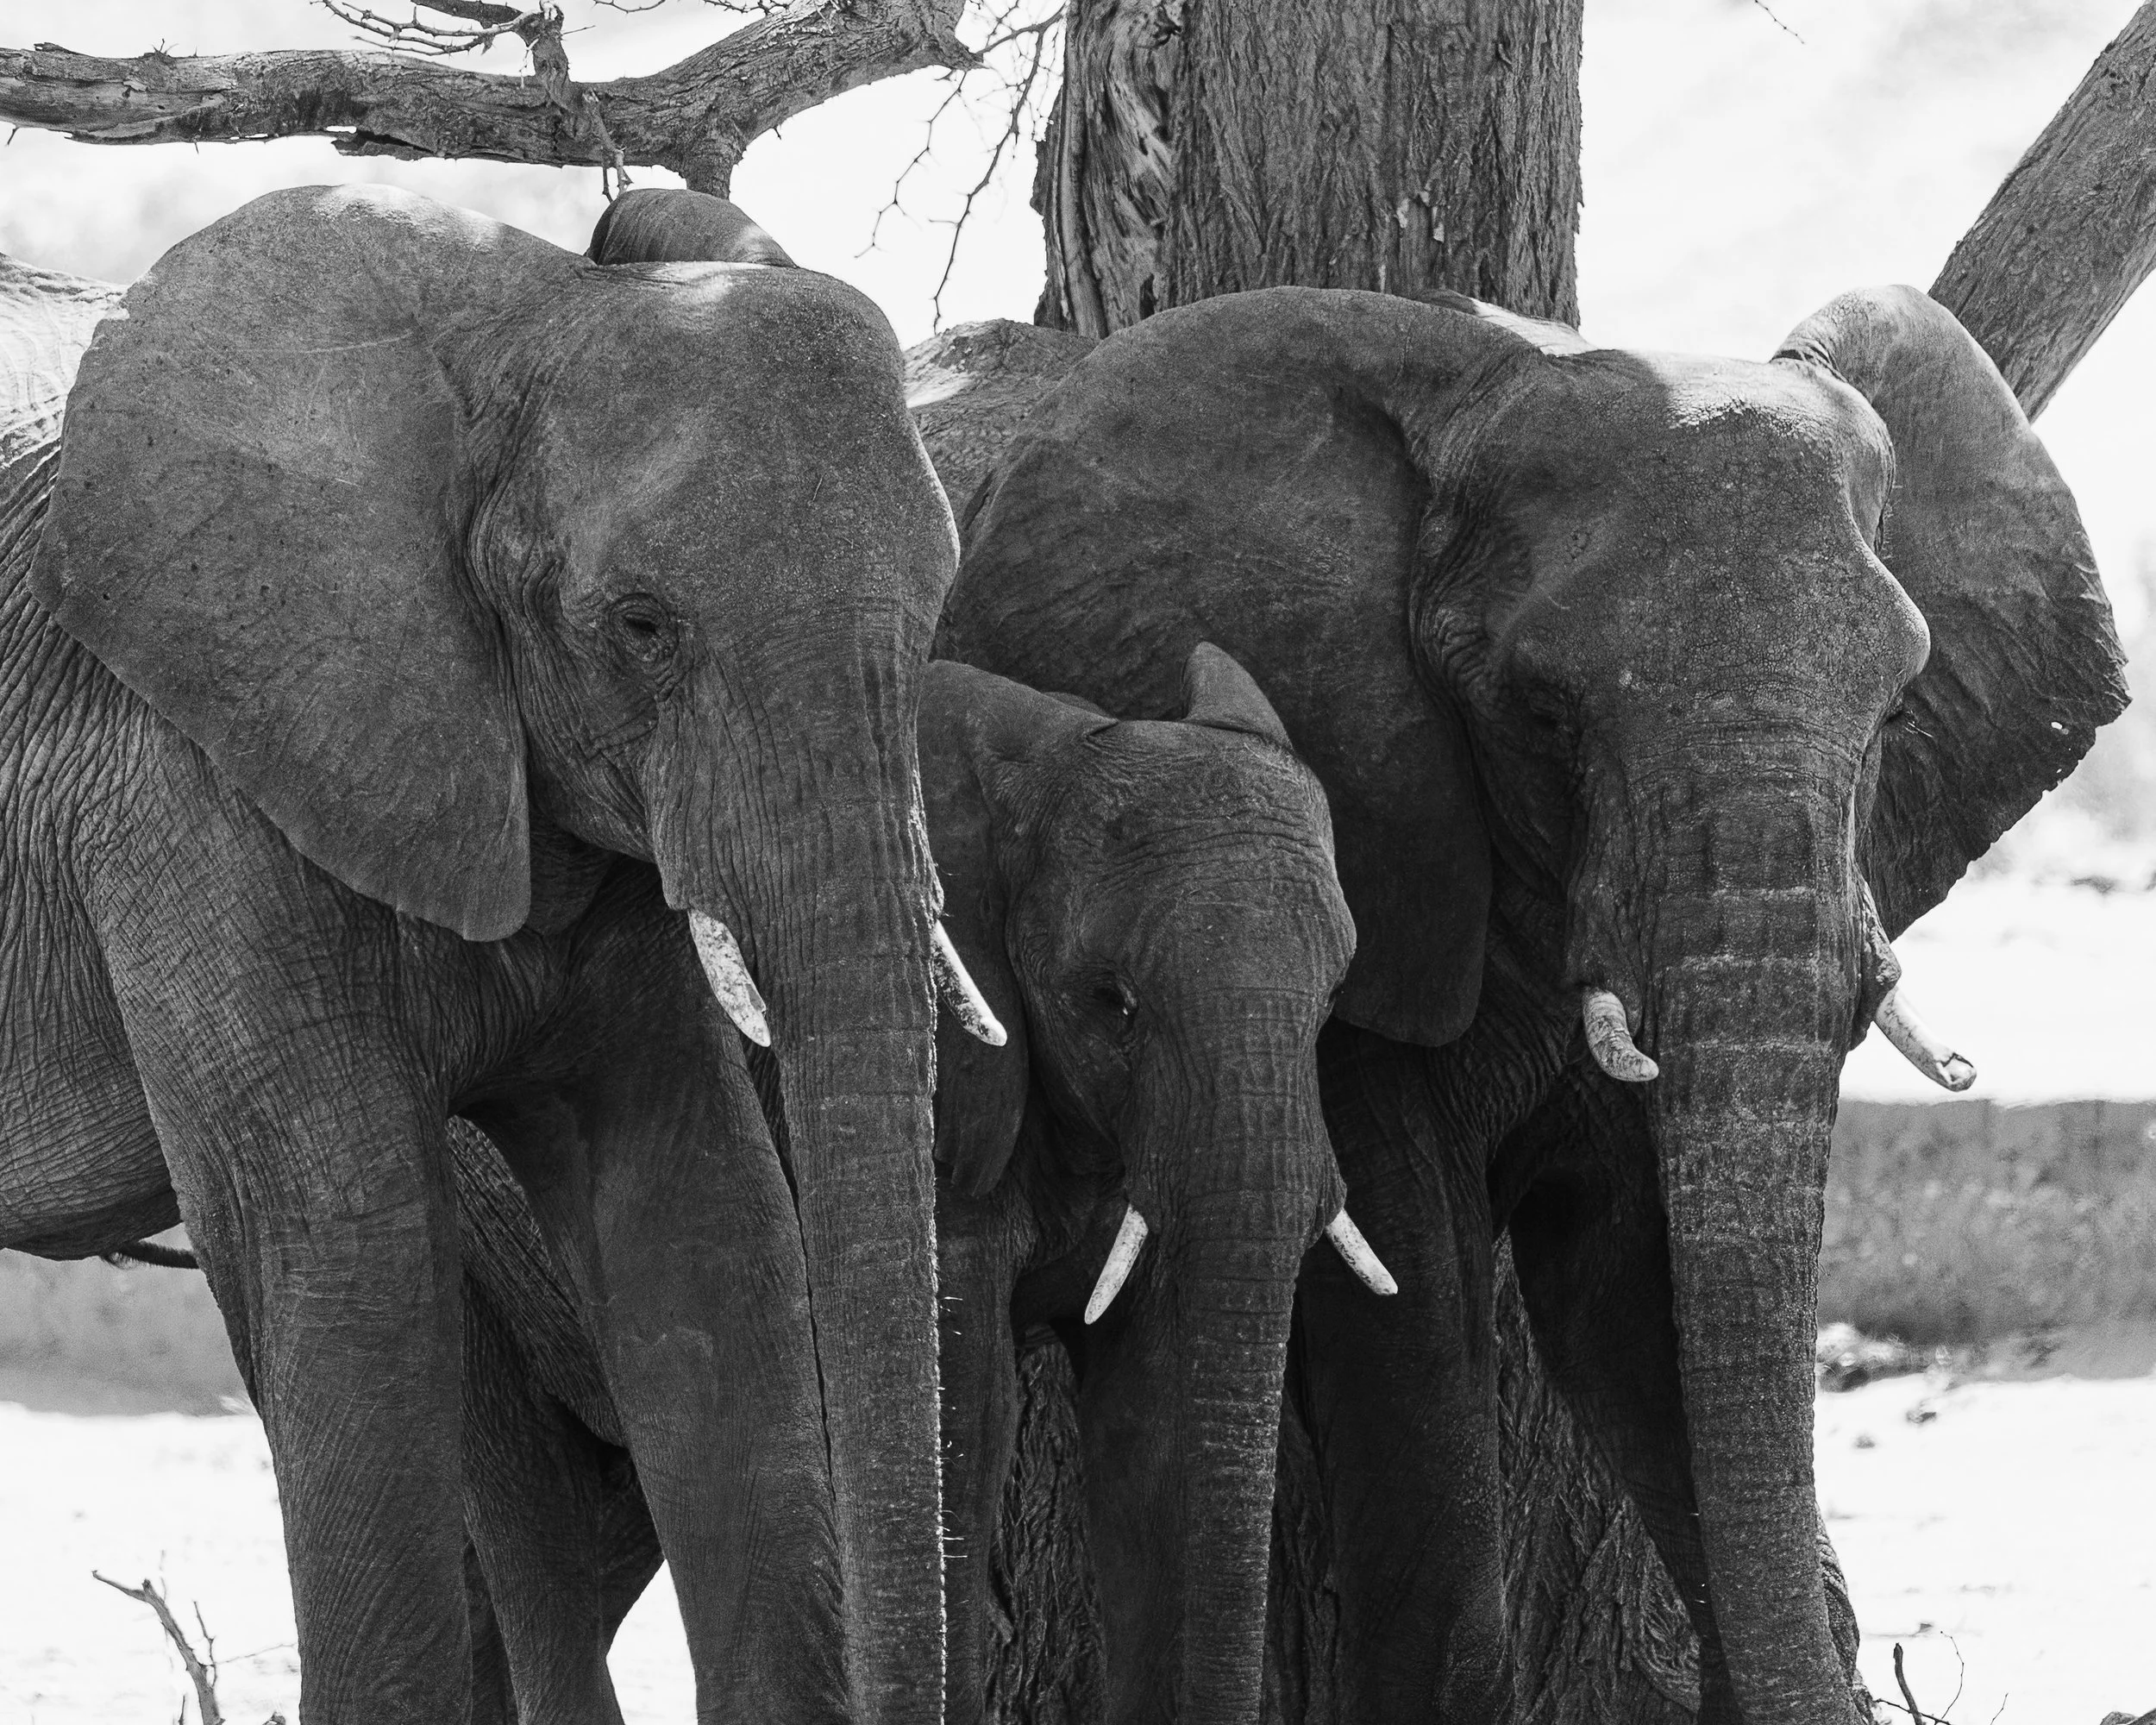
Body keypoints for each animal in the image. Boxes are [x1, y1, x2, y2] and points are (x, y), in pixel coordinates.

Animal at [0, 184, 995, 1723]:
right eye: (641, 627)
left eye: (939, 600)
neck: (510, 326)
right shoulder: (186, 786)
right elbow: (349, 1244)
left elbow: (698, 1220)